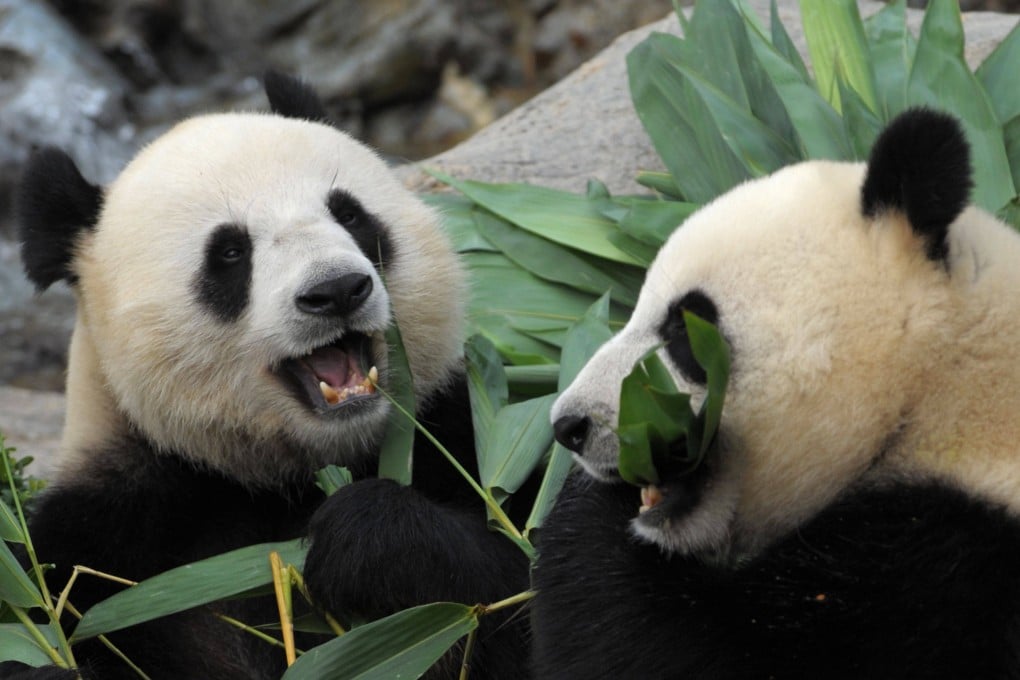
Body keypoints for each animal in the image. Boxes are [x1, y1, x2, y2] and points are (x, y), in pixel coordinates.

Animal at [6, 73, 530, 680]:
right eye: (231, 252)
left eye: (349, 214)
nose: (337, 290)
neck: (281, 476)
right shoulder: (105, 534)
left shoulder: (456, 431)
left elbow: (520, 586)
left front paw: (368, 539)